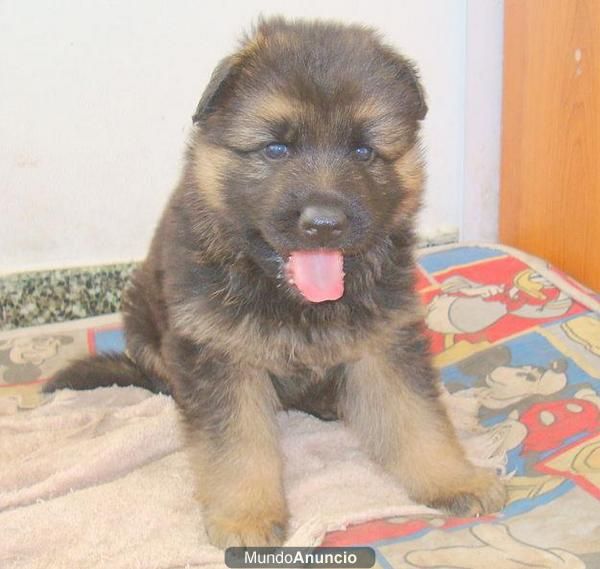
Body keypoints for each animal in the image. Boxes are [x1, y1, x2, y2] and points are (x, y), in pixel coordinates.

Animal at [45, 18, 506, 544]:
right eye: (276, 148)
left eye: (363, 150)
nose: (324, 224)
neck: (293, 298)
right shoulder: (219, 357)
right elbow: (238, 447)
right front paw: (245, 515)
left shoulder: (385, 342)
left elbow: (418, 420)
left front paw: (454, 478)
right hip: (143, 313)